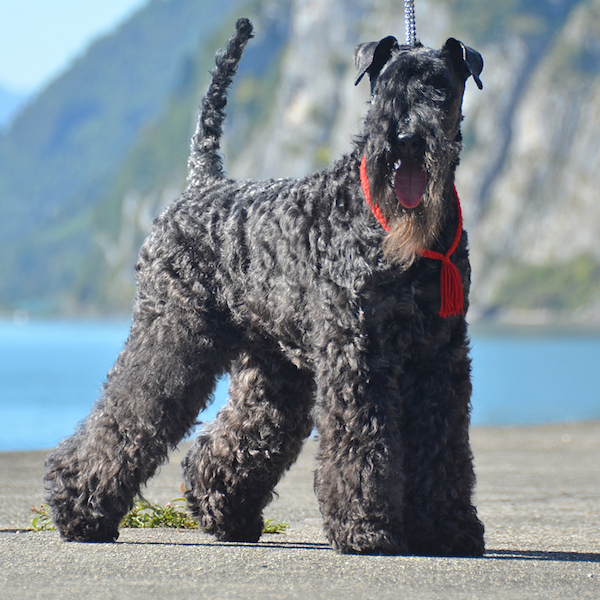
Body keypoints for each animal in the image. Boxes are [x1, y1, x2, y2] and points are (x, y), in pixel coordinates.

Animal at [47, 16, 488, 556]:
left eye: (439, 88)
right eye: (384, 87)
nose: (403, 139)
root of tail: (203, 185)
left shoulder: (439, 357)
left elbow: (443, 443)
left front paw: (449, 528)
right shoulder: (358, 351)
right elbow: (363, 437)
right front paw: (366, 529)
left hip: (274, 368)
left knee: (233, 437)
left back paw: (223, 513)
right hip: (172, 336)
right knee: (126, 411)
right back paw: (78, 509)